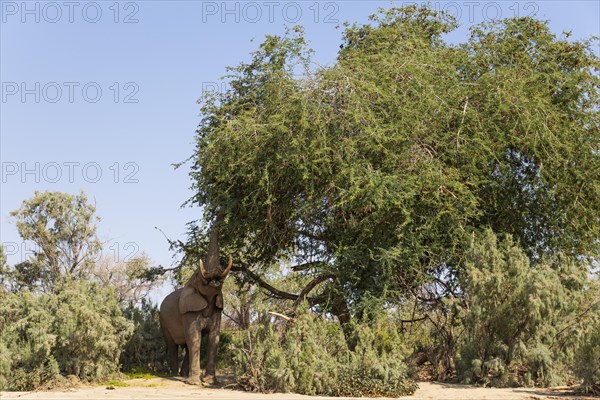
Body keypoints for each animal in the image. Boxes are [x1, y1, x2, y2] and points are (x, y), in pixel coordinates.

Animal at [158, 248, 233, 386]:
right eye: (198, 274)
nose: (216, 280)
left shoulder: (217, 310)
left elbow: (214, 337)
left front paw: (209, 382)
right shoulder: (188, 312)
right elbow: (194, 338)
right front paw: (194, 383)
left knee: (187, 347)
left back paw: (183, 375)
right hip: (163, 321)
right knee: (172, 345)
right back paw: (174, 375)